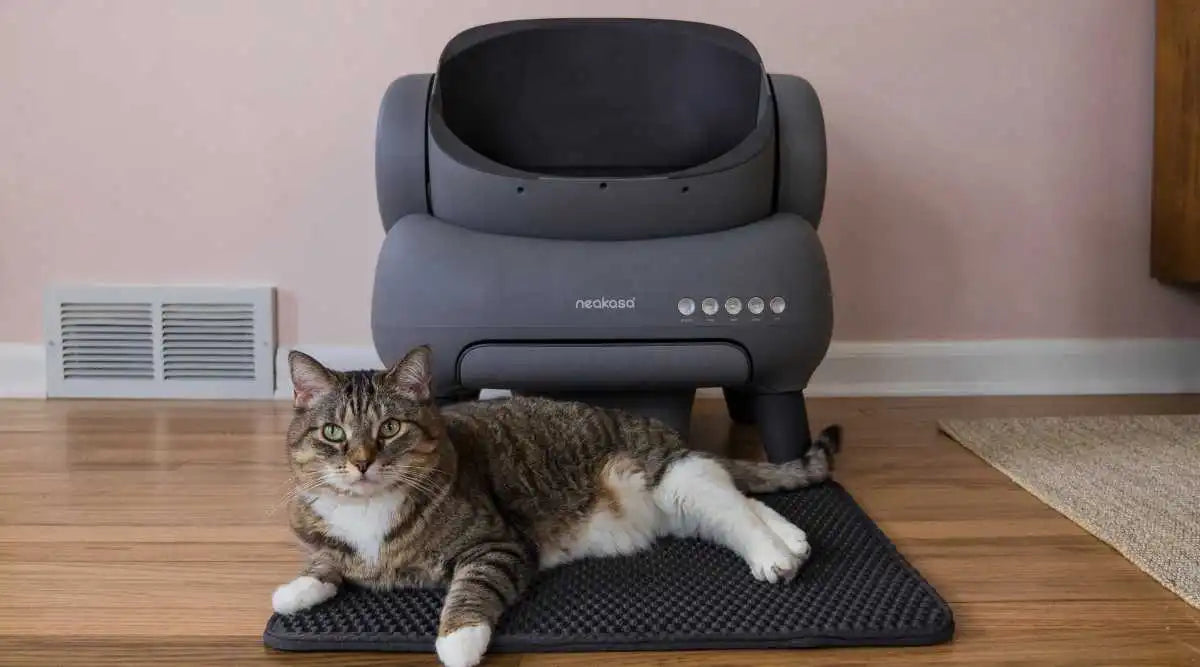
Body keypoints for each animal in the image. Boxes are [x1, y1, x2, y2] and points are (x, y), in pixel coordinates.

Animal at [273, 345, 844, 662]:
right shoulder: (322, 533)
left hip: (674, 481)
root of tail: (664, 431)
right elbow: (325, 559)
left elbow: (472, 589)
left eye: (390, 428)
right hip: (682, 507)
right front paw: (297, 588)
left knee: (735, 508)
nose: (361, 462)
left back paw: (775, 555)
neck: (368, 509)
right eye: (333, 433)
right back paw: (792, 538)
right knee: (738, 495)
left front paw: (459, 640)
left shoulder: (498, 544)